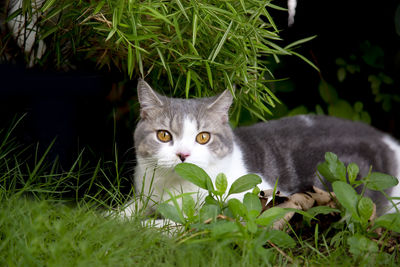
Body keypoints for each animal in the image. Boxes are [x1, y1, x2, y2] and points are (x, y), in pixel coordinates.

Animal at [126, 78, 400, 217]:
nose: (183, 154)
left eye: (203, 137)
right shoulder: (146, 195)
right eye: (164, 135)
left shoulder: (245, 202)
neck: (175, 187)